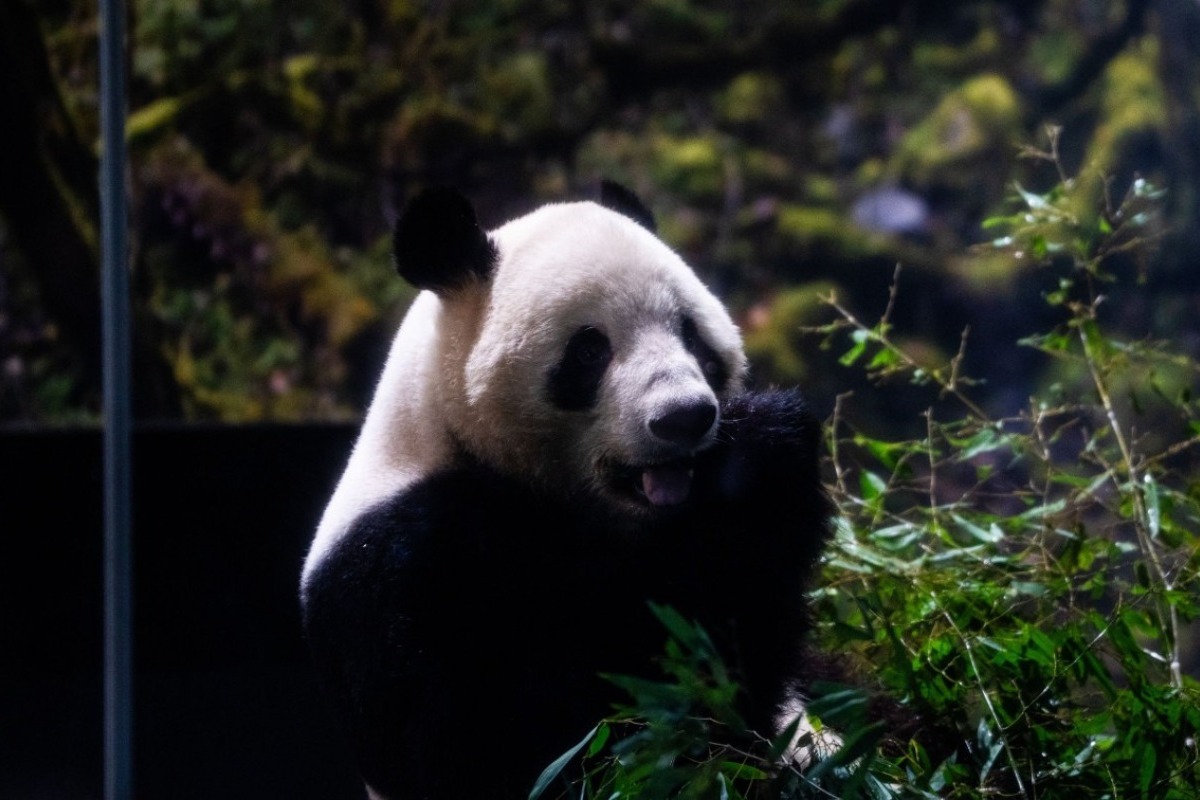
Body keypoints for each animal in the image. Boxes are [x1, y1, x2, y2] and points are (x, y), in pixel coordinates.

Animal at [300, 182, 833, 799]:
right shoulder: (404, 567)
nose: (684, 417)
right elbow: (524, 741)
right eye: (589, 348)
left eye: (691, 332)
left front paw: (761, 453)